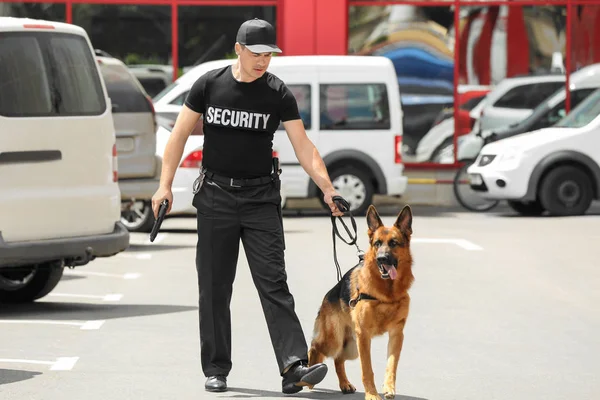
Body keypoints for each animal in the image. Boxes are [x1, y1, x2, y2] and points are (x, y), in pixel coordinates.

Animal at [308, 205, 414, 398]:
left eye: (393, 243)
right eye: (377, 243)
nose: (381, 259)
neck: (386, 293)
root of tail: (328, 295)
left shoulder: (396, 333)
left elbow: (392, 364)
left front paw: (388, 387)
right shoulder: (364, 336)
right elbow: (367, 369)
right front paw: (371, 394)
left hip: (350, 347)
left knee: (338, 359)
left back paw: (344, 384)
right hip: (334, 341)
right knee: (315, 347)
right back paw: (309, 376)